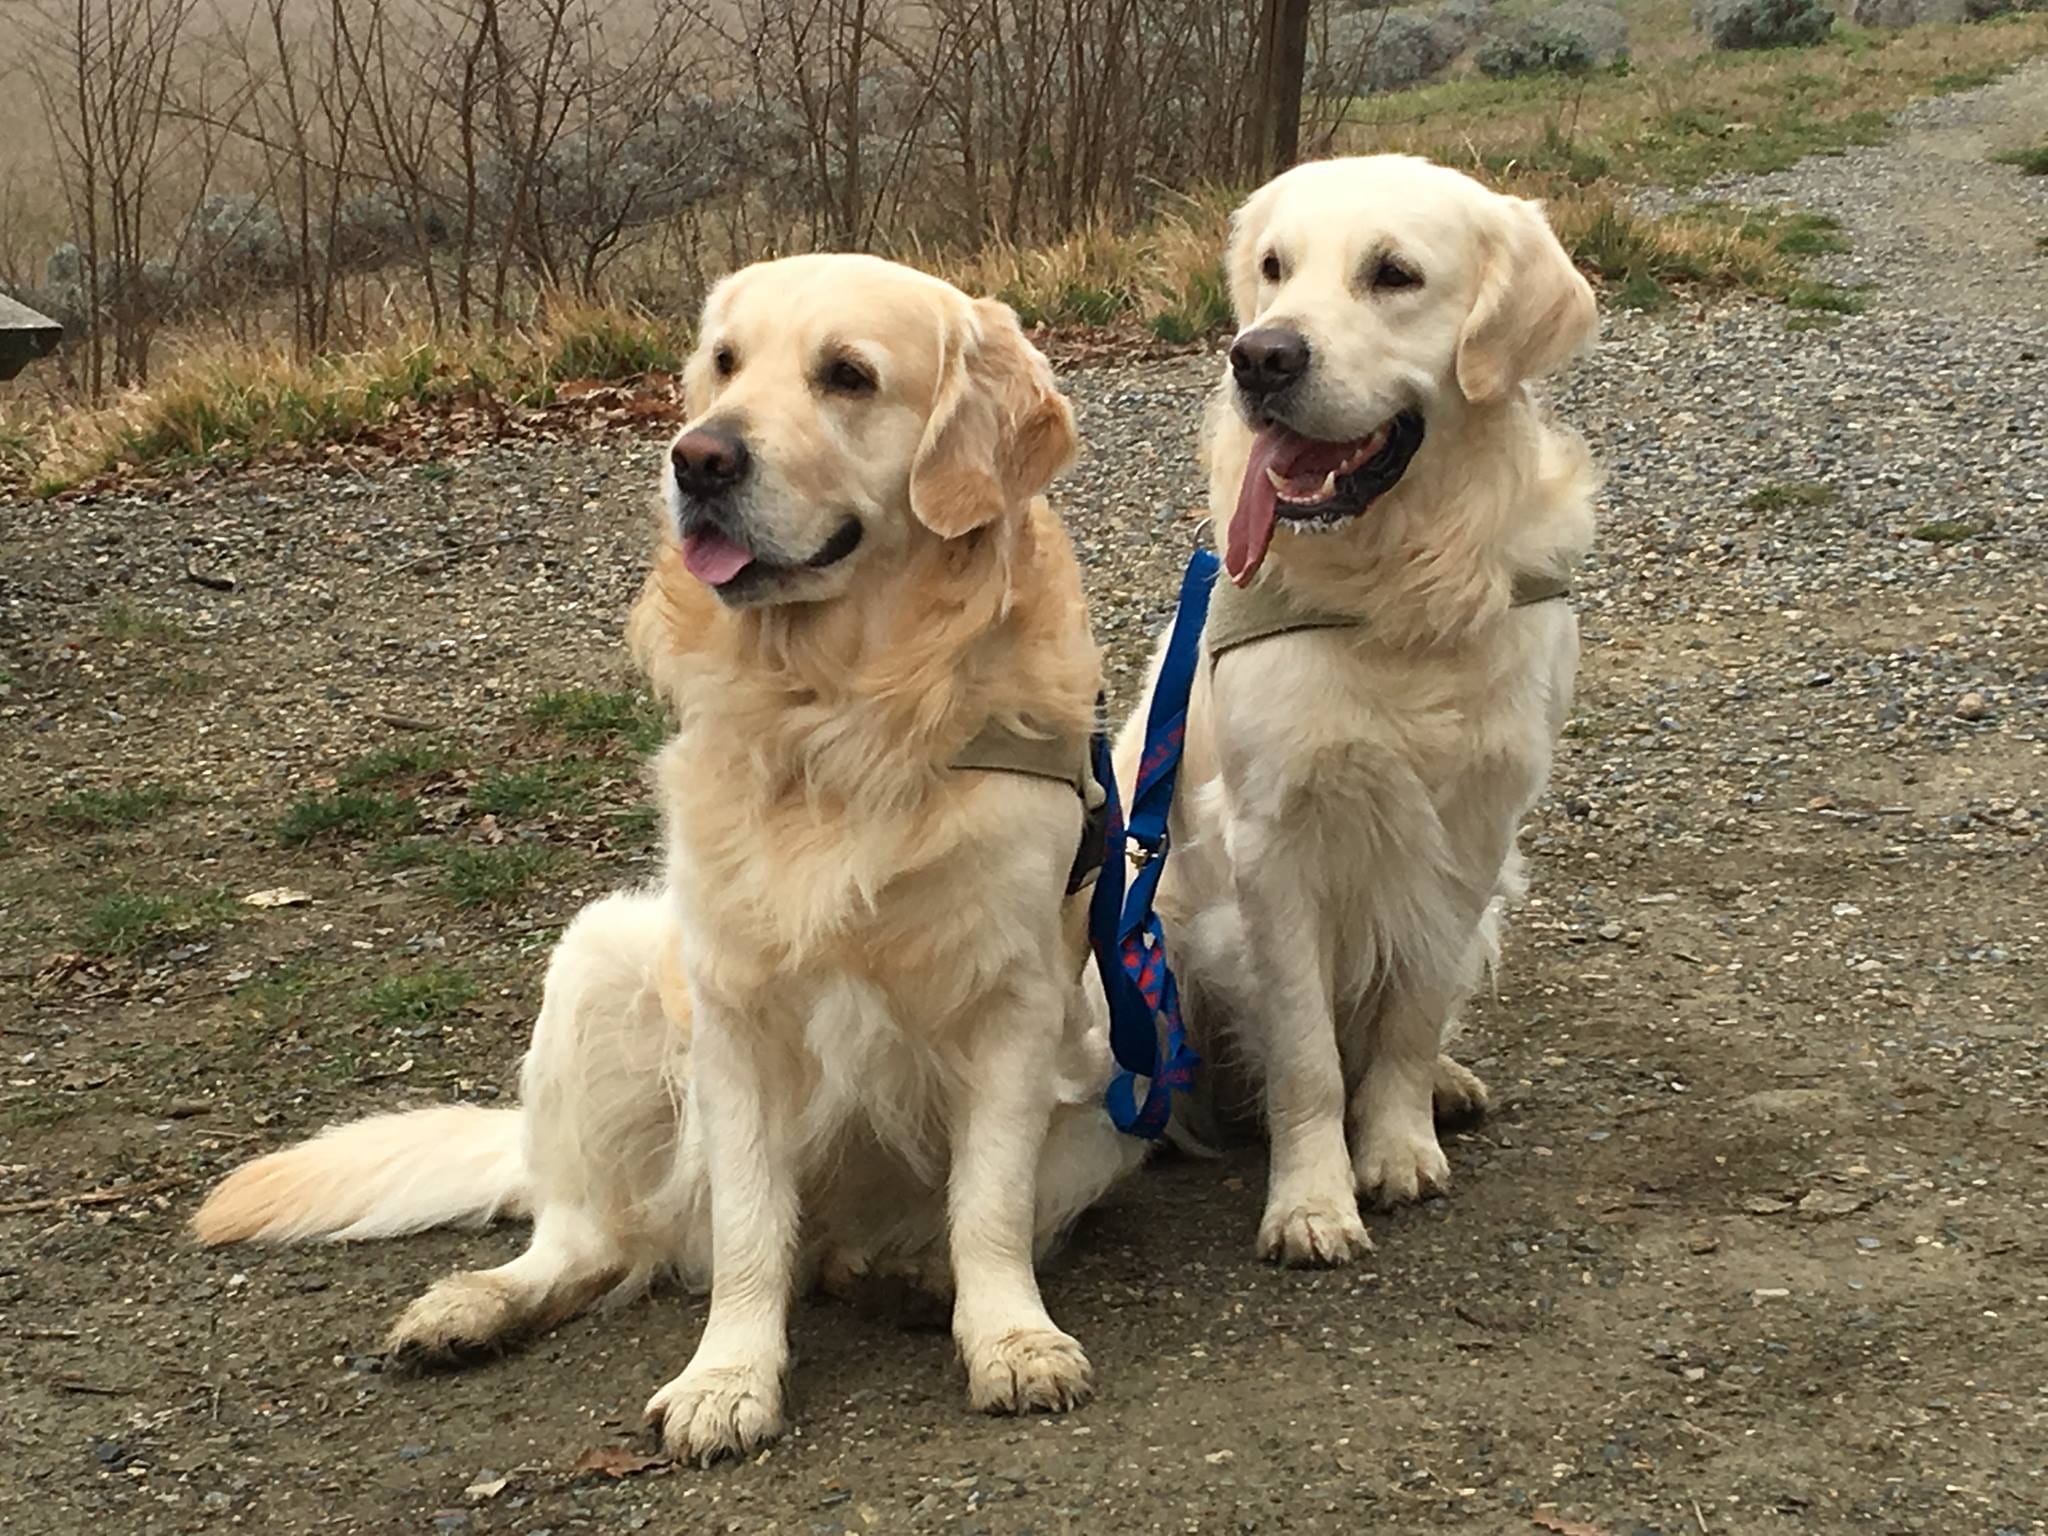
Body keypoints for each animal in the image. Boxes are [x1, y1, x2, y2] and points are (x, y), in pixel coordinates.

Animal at [195, 262, 1155, 1466]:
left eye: (848, 375)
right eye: (724, 365)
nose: (696, 459)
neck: (839, 714)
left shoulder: (1016, 996)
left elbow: (987, 1204)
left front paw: (1012, 1340)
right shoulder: (734, 1011)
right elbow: (748, 1229)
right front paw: (724, 1378)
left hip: (1116, 1088)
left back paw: (905, 1271)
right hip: (599, 958)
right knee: (593, 1240)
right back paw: (474, 1305)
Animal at [1122, 156, 1597, 1269]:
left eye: (1393, 274)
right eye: (1272, 267)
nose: (1259, 357)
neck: (1390, 590)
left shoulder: (1472, 836)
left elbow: (1411, 1014)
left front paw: (1396, 1144)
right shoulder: (1274, 843)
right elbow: (1305, 1054)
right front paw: (1309, 1203)